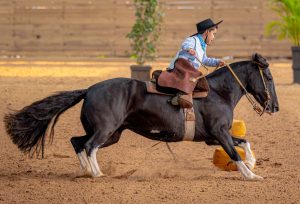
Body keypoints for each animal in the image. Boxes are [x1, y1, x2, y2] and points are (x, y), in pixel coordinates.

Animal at [3, 53, 278, 180]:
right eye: (269, 77)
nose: (274, 107)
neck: (218, 92)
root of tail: (89, 89)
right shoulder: (220, 134)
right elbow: (234, 152)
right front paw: (251, 175)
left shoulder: (213, 137)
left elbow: (244, 143)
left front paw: (252, 163)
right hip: (105, 130)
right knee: (89, 145)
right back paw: (97, 173)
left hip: (112, 134)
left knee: (77, 141)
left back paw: (85, 170)